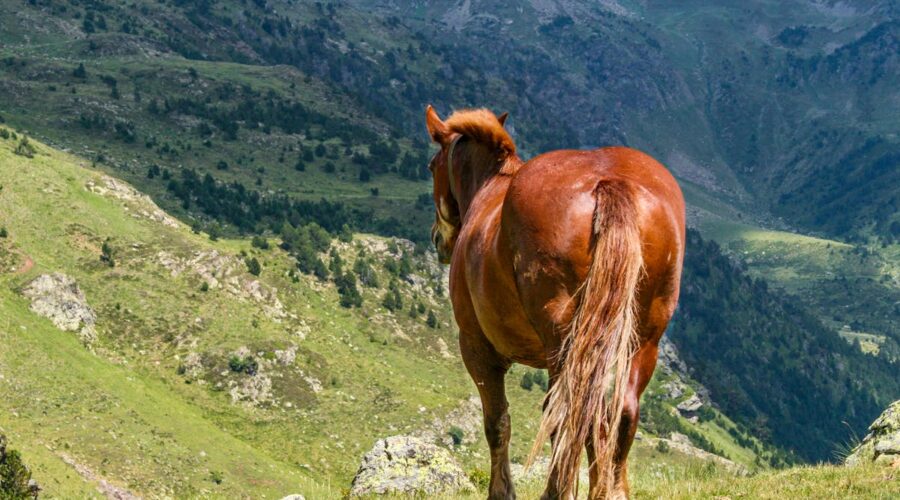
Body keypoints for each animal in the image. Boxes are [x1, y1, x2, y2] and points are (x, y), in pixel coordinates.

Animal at [424, 106, 685, 499]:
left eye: (431, 166)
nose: (439, 240)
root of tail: (610, 183)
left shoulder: (477, 349)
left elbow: (497, 422)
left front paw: (502, 491)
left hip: (565, 341)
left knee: (570, 411)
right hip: (642, 340)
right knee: (618, 413)